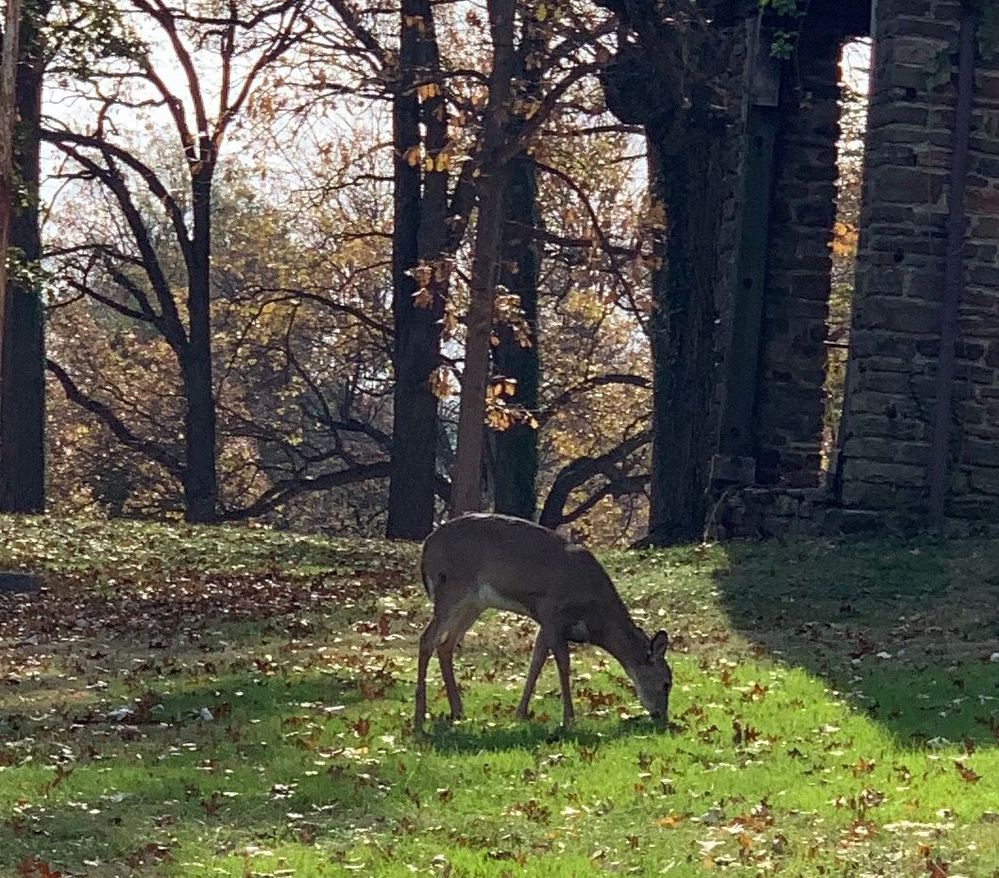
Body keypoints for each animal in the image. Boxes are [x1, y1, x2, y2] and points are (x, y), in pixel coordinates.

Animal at [414, 512, 672, 732]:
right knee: (427, 639)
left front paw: (520, 713)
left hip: (474, 603)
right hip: (452, 585)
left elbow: (536, 660)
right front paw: (569, 719)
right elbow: (563, 663)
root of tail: (427, 545)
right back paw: (419, 718)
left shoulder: (545, 622)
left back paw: (458, 712)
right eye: (666, 683)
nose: (661, 717)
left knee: (445, 644)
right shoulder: (551, 610)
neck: (594, 616)